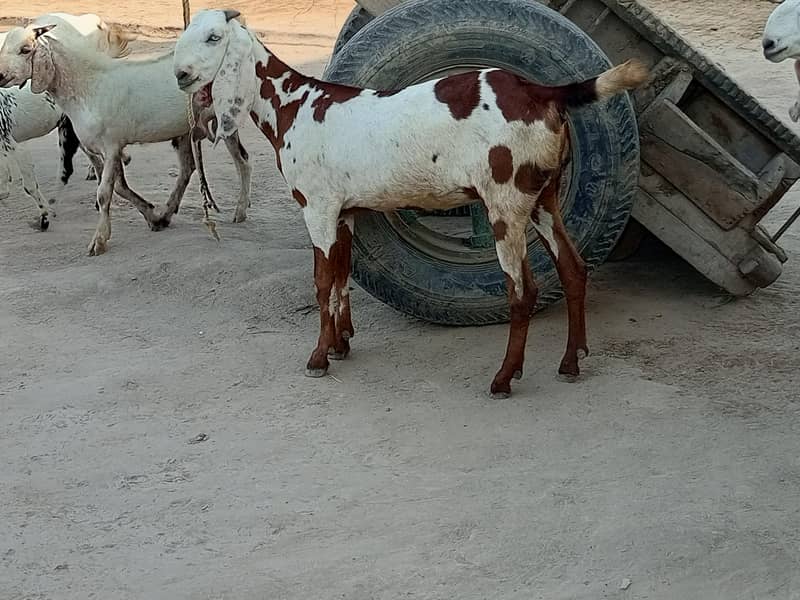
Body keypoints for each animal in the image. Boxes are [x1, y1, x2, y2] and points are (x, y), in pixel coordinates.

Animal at [0, 16, 251, 255]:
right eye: (3, 46)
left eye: (25, 49)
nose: (0, 76)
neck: (88, 85)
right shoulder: (104, 146)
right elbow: (119, 187)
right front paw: (153, 216)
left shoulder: (111, 145)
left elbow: (104, 193)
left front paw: (99, 241)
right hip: (183, 131)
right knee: (188, 168)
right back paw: (168, 212)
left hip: (227, 117)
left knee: (243, 161)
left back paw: (240, 210)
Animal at [173, 9, 648, 397]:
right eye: (186, 35)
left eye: (213, 37)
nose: (179, 75)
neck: (295, 104)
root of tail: (540, 92)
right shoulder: (344, 212)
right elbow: (342, 277)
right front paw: (342, 344)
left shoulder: (318, 208)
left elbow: (323, 281)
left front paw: (319, 358)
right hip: (544, 196)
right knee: (573, 268)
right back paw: (571, 362)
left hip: (505, 203)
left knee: (523, 290)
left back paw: (503, 378)